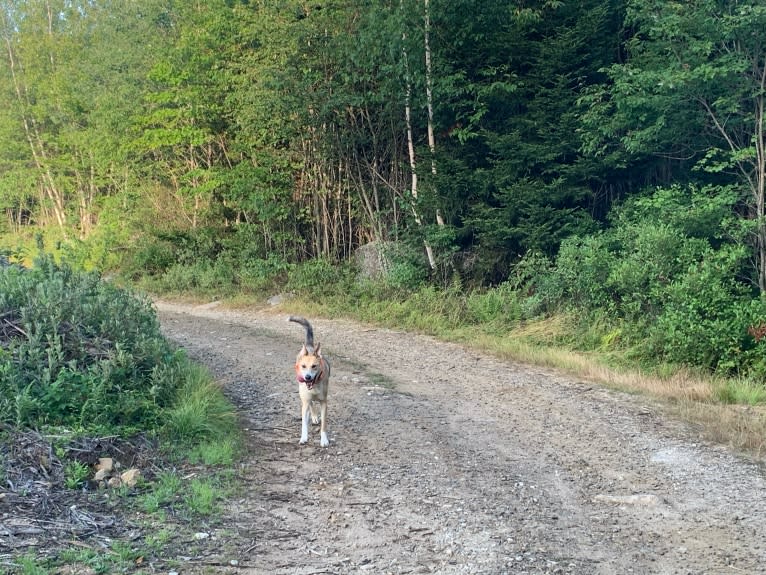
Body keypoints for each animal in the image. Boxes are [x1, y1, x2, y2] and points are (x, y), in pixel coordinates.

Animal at [290, 318, 332, 448]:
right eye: (303, 366)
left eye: (314, 366)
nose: (307, 377)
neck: (314, 386)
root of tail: (309, 347)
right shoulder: (305, 401)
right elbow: (304, 423)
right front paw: (303, 437)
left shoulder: (324, 403)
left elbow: (324, 425)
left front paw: (324, 440)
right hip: (303, 395)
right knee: (310, 403)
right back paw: (313, 416)